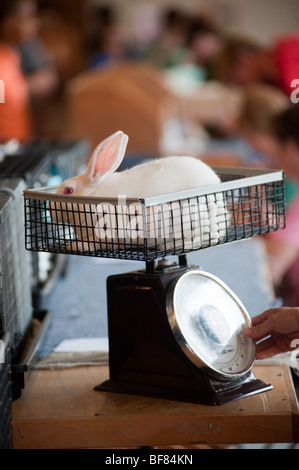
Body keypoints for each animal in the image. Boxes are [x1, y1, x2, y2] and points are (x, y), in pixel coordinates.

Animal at [51, 129, 230, 253]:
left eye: (68, 190)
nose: (51, 211)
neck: (93, 197)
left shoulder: (107, 234)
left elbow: (94, 243)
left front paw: (76, 246)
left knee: (204, 240)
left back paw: (166, 246)